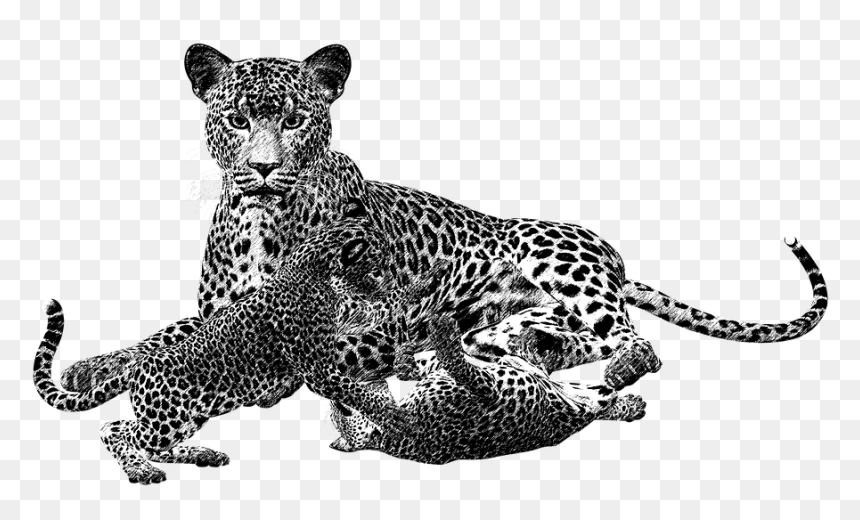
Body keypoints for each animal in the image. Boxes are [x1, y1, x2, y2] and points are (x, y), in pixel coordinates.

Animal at [34, 217, 428, 484]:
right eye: (377, 266)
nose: (393, 279)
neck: (317, 271)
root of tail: (138, 366)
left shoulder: (345, 320)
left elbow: (375, 316)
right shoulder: (320, 369)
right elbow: (360, 393)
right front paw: (401, 418)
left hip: (187, 418)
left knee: (149, 441)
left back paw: (203, 454)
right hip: (165, 420)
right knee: (115, 430)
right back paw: (142, 470)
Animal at [61, 43, 829, 402]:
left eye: (296, 120)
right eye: (238, 120)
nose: (264, 169)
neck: (261, 217)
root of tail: (615, 260)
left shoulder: (352, 319)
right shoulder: (223, 308)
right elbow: (171, 331)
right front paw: (99, 366)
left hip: (553, 257)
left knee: (633, 343)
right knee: (551, 333)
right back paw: (503, 348)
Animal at [329, 316, 647, 465]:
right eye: (343, 410)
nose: (334, 401)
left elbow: (436, 362)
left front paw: (405, 359)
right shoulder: (488, 391)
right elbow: (458, 364)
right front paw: (442, 334)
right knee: (602, 393)